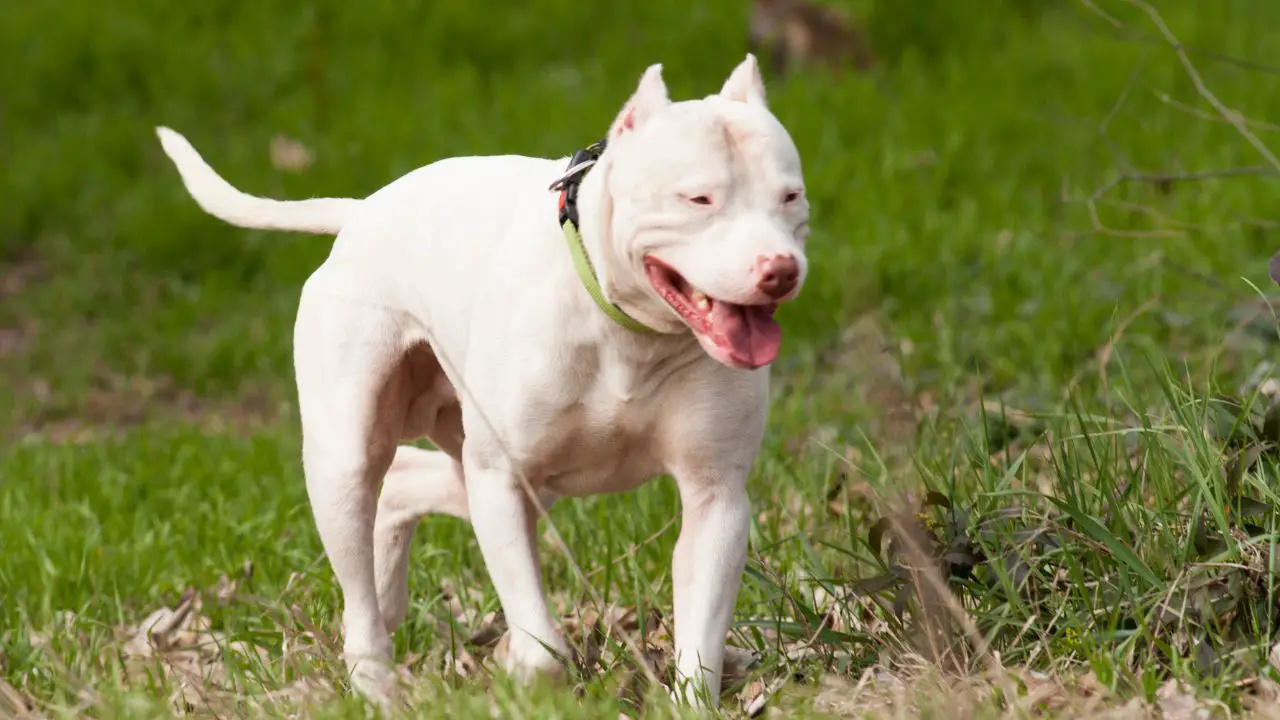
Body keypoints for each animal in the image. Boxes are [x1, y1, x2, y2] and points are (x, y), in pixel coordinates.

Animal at [154, 56, 803, 707]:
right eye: (698, 198)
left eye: (791, 196)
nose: (781, 269)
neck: (627, 331)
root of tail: (361, 211)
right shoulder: (501, 479)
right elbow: (541, 644)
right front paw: (527, 673)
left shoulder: (716, 497)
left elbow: (701, 640)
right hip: (348, 455)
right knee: (361, 540)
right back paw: (375, 678)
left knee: (402, 486)